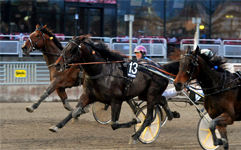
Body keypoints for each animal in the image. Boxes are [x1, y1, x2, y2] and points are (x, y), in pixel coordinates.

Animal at [50, 34, 179, 144]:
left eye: (72, 49)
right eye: (64, 47)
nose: (57, 64)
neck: (101, 71)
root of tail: (162, 67)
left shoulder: (116, 100)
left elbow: (114, 124)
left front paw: (135, 120)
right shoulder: (88, 96)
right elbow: (73, 112)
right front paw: (55, 126)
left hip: (152, 94)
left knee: (149, 117)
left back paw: (135, 136)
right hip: (144, 93)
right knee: (162, 99)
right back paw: (172, 114)